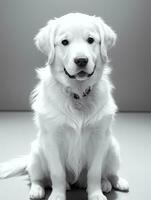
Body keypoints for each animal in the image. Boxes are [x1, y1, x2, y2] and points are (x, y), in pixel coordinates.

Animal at [0, 12, 129, 200]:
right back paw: (37, 190)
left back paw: (112, 182)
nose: (81, 60)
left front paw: (96, 193)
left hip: (113, 148)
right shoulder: (52, 139)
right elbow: (57, 173)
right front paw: (58, 195)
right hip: (36, 153)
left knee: (109, 173)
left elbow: (95, 172)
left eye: (91, 40)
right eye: (65, 42)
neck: (78, 93)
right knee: (37, 178)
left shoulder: (99, 138)